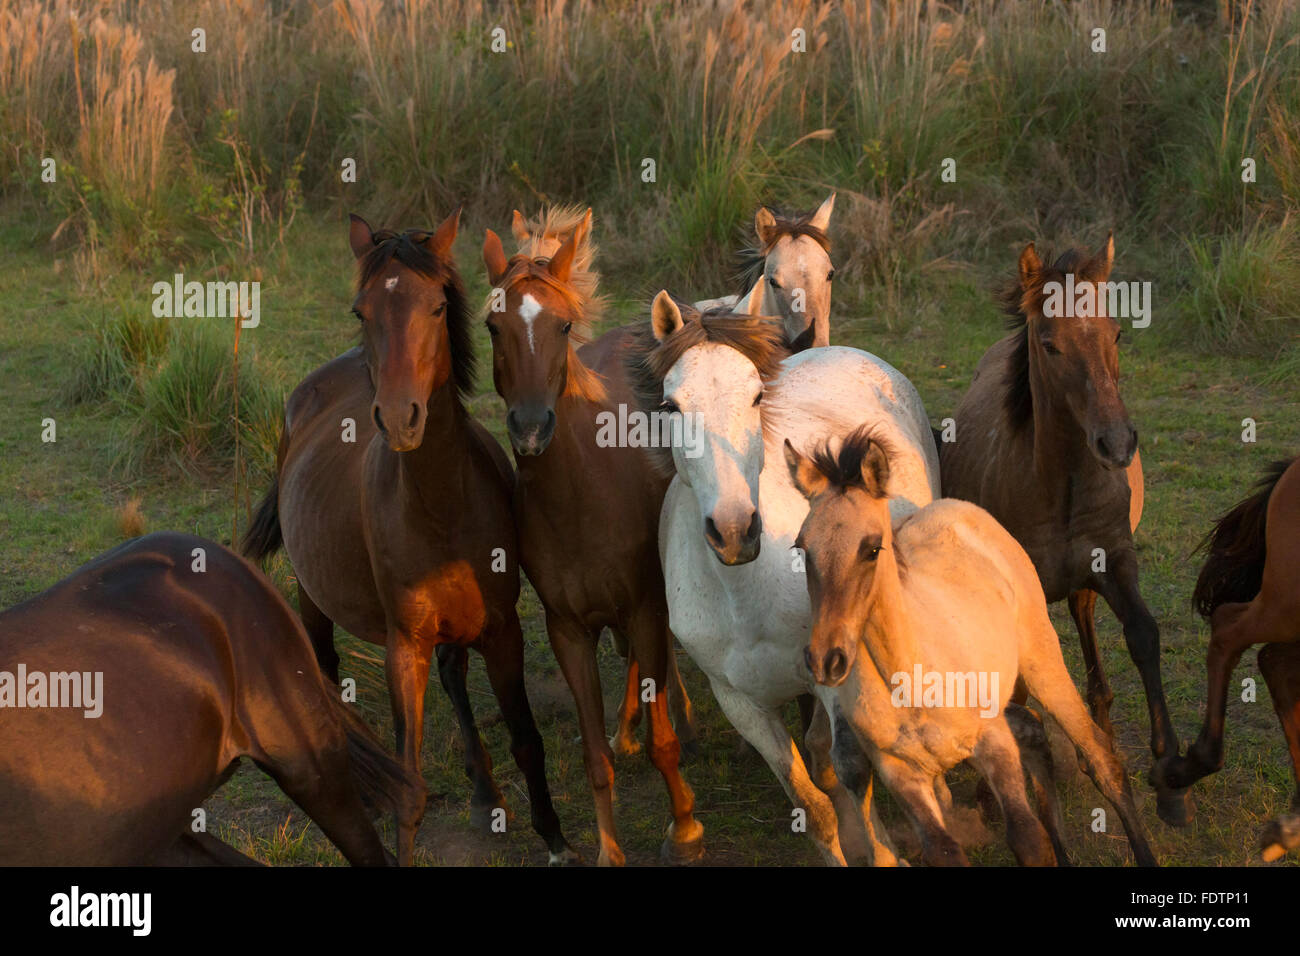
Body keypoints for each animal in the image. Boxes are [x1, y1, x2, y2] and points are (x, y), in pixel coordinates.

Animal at [245, 214, 572, 868]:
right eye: (360, 310)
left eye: (436, 305)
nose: (399, 417)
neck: (441, 504)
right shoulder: (405, 647)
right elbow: (410, 781)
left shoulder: (502, 631)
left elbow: (526, 738)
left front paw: (554, 840)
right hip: (313, 598)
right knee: (326, 668)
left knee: (453, 675)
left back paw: (484, 792)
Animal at [478, 223, 707, 868]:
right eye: (493, 327)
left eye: (562, 326)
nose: (531, 428)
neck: (582, 494)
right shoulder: (568, 630)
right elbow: (592, 760)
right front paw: (608, 849)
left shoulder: (647, 606)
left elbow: (663, 741)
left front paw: (685, 826)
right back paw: (624, 726)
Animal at [941, 235, 1190, 827]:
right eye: (1050, 345)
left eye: (1116, 332)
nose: (1117, 443)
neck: (1061, 489)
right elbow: (1016, 688)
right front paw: (994, 795)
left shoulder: (1116, 562)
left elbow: (1144, 636)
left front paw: (1170, 783)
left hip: (1084, 584)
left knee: (1086, 626)